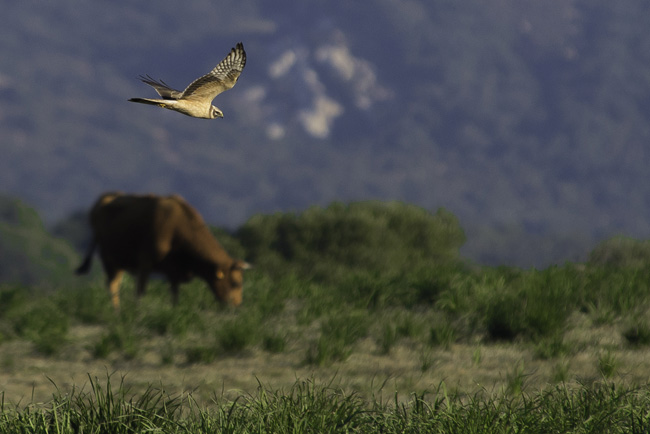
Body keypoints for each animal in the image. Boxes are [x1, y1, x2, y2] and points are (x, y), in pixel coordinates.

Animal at [74, 192, 249, 308]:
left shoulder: (174, 272)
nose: (237, 305)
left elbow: (174, 294)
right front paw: (139, 311)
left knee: (115, 284)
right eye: (236, 282)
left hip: (119, 263)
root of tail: (104, 198)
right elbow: (141, 291)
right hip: (109, 260)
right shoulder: (145, 264)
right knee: (113, 285)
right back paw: (116, 311)